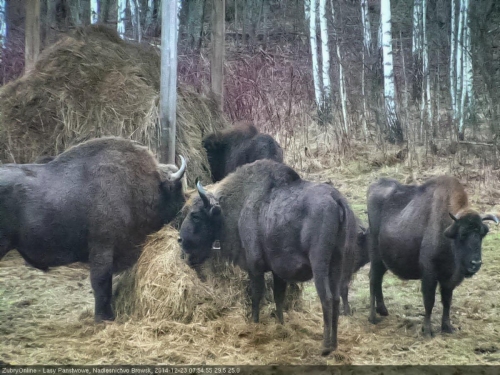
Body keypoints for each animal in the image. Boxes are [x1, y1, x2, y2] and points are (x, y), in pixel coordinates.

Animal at [179, 161, 364, 356]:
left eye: (196, 215)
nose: (180, 239)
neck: (241, 205)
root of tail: (336, 199)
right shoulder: (278, 273)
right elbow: (278, 297)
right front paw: (280, 324)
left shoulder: (255, 267)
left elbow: (256, 294)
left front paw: (254, 322)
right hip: (337, 264)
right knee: (335, 298)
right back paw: (334, 344)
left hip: (320, 265)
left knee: (326, 298)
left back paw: (325, 347)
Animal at [366, 176, 498, 338]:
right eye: (463, 234)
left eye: (481, 234)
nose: (476, 263)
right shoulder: (429, 274)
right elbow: (429, 301)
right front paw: (427, 331)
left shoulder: (448, 280)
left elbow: (447, 301)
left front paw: (447, 327)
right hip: (375, 256)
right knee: (373, 279)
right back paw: (373, 317)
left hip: (384, 260)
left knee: (378, 278)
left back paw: (383, 310)